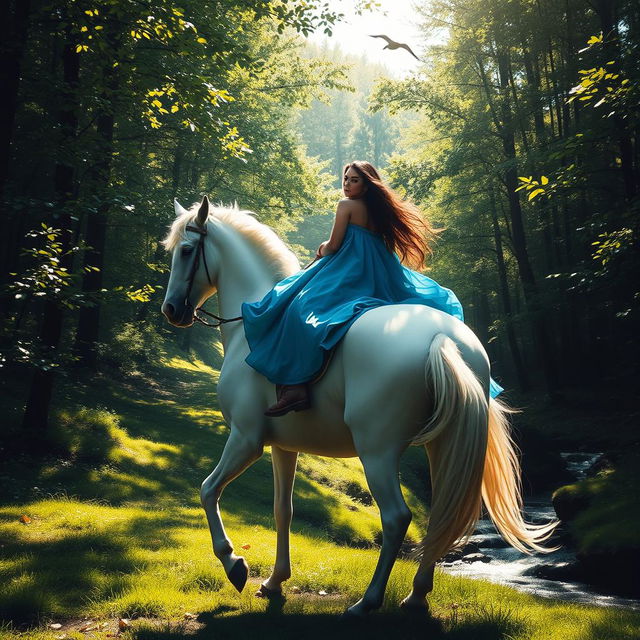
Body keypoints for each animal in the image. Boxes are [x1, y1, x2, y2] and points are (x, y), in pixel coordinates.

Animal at [161, 198, 560, 616]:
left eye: (186, 250)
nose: (170, 309)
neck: (252, 326)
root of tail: (441, 339)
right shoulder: (283, 447)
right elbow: (283, 510)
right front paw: (274, 582)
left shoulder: (246, 439)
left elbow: (208, 490)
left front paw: (234, 563)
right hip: (441, 446)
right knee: (440, 513)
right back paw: (416, 596)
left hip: (377, 452)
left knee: (397, 517)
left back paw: (368, 601)